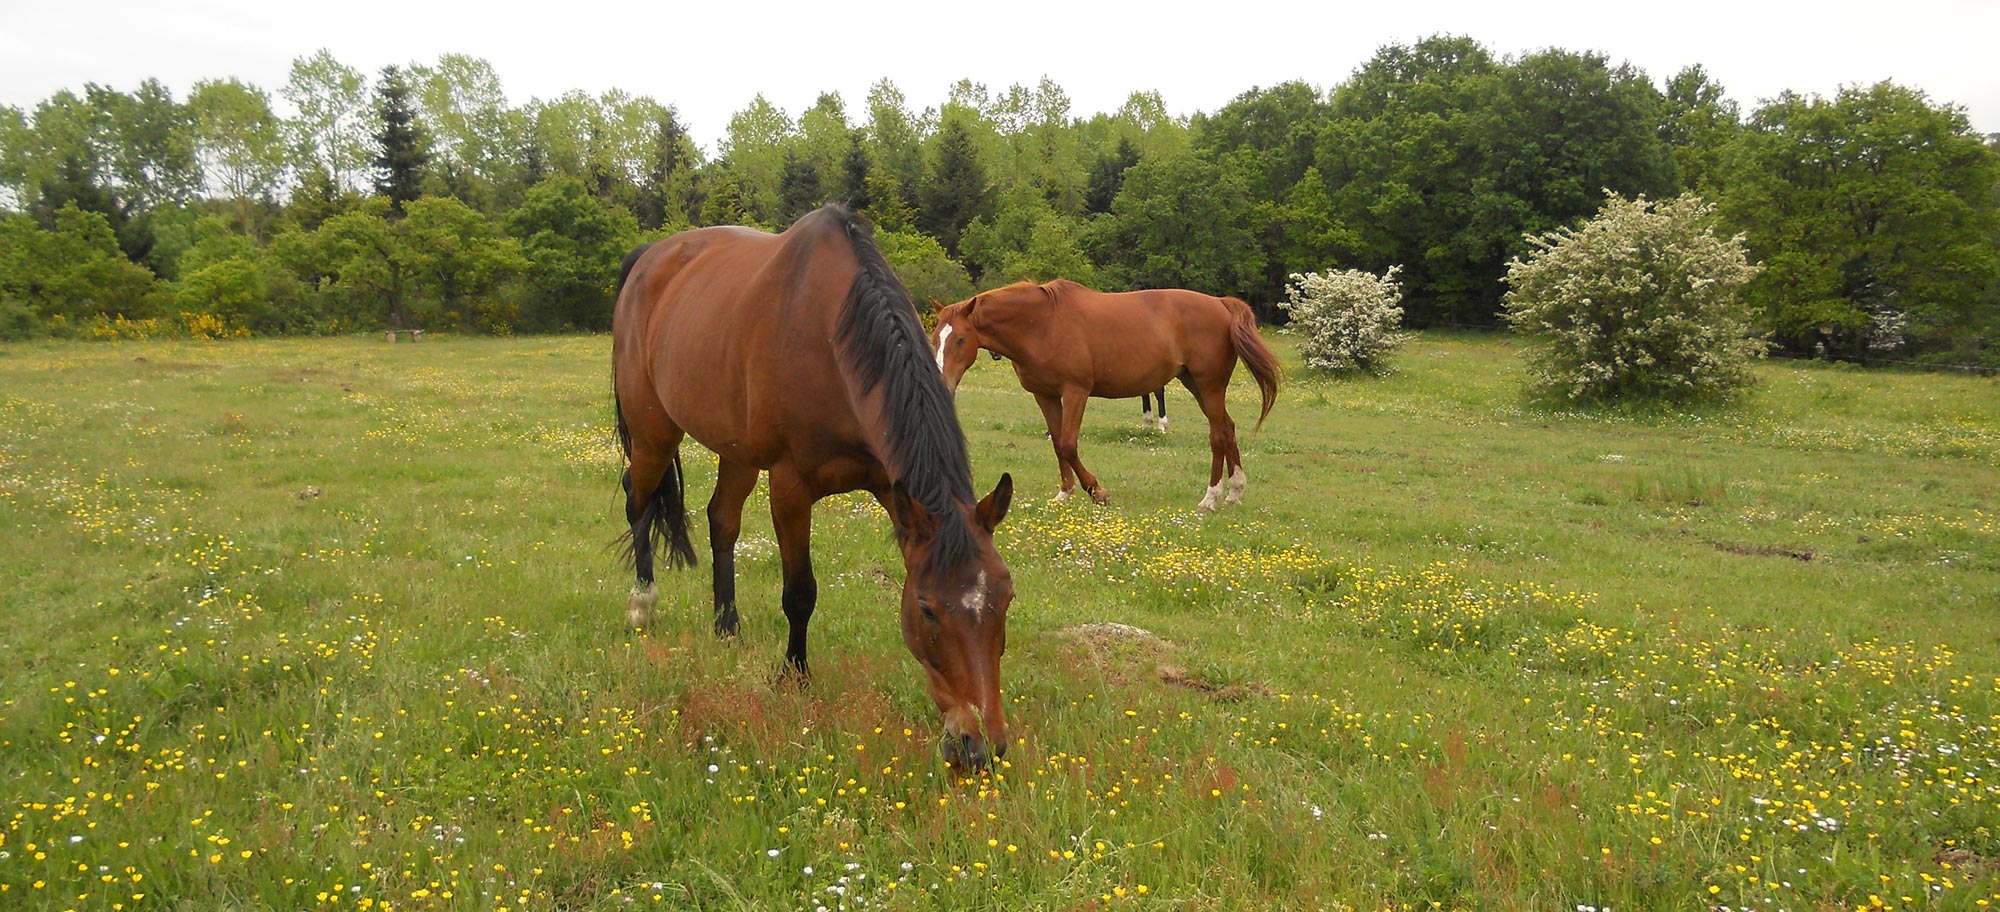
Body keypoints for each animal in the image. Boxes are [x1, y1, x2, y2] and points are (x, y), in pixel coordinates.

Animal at [608, 205, 1016, 768]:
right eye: (928, 608)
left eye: (1006, 598)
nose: (980, 747)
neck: (831, 338)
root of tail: (649, 257)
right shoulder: (790, 487)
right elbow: (800, 592)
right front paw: (794, 678)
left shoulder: (891, 486)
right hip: (654, 431)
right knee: (638, 496)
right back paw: (641, 603)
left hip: (736, 451)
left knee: (721, 521)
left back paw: (726, 627)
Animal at [936, 278, 1280, 510]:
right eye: (936, 336)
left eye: (961, 339)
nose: (944, 385)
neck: (1041, 324)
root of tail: (1221, 303)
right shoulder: (1045, 395)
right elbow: (1057, 444)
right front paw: (1065, 492)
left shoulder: (1076, 391)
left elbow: (1069, 444)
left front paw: (1096, 491)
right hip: (1195, 383)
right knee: (1227, 428)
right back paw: (1234, 491)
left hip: (1209, 385)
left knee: (1218, 436)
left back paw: (1210, 498)